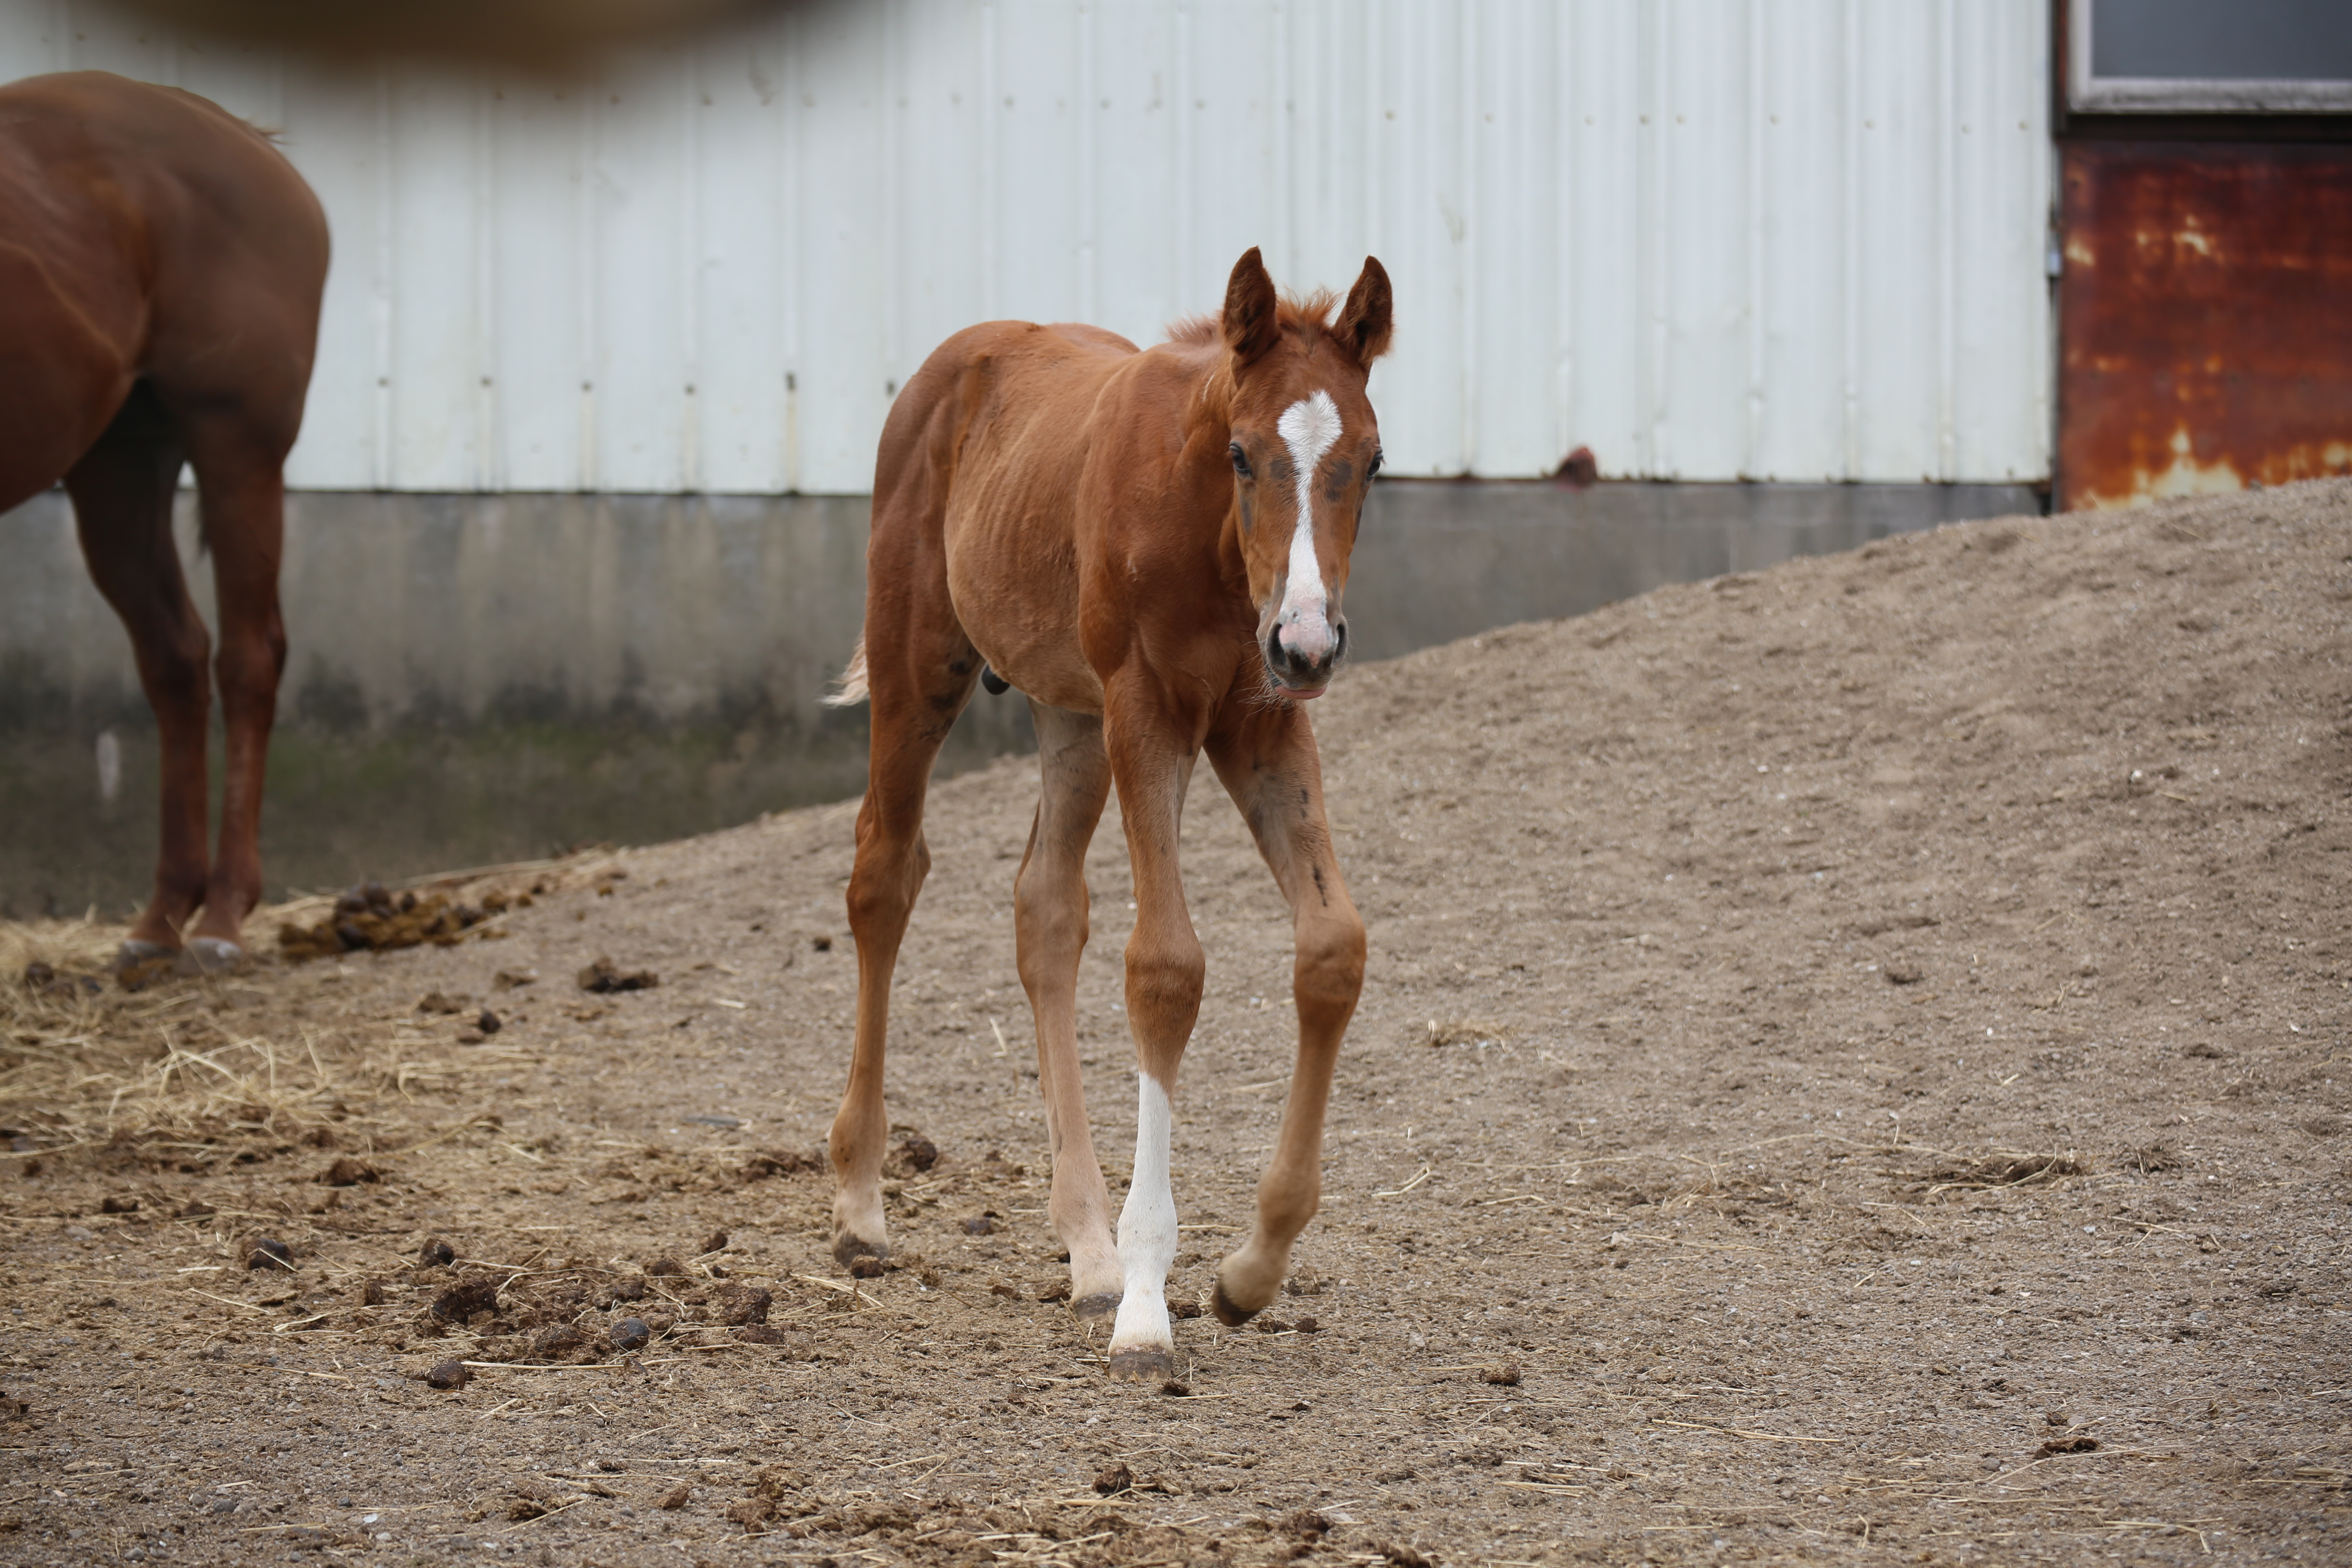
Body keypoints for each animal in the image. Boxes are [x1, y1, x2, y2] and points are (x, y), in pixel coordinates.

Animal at [0, 73, 332, 973]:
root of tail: (247, 138)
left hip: (237, 449)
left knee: (249, 660)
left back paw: (220, 918)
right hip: (118, 467)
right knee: (175, 659)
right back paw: (161, 919)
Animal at [828, 240, 1383, 1382]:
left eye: (1374, 459)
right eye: (1242, 454)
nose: (1310, 643)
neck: (1203, 537)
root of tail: (954, 360)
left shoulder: (1259, 721)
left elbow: (1331, 947)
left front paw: (1248, 1269)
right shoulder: (1149, 715)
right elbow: (1165, 970)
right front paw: (1146, 1306)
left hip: (1068, 717)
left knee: (1044, 909)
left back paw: (1085, 1249)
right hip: (923, 665)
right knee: (883, 875)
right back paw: (861, 1205)